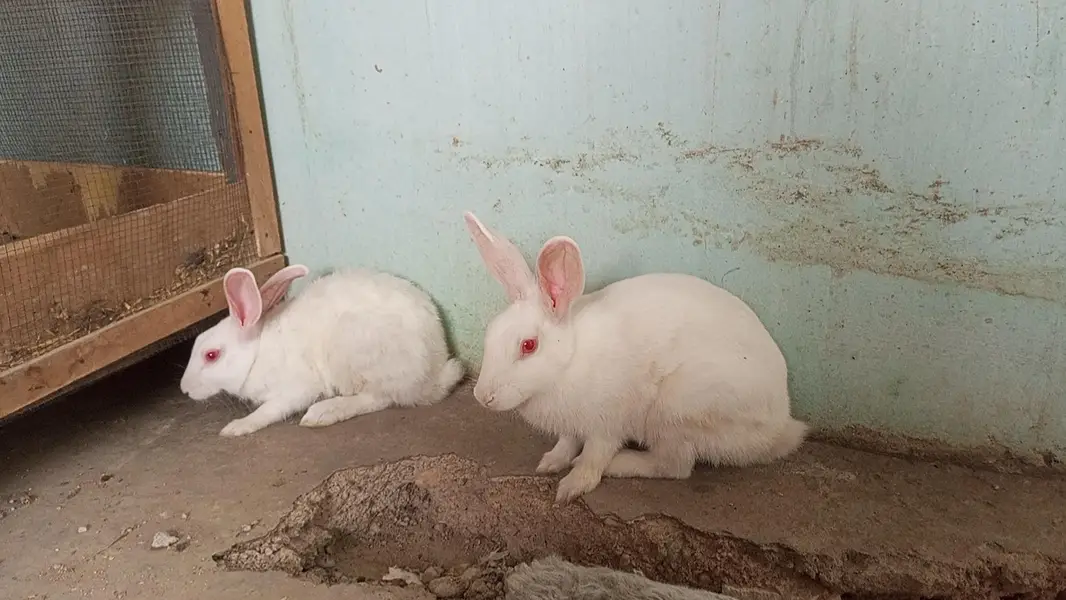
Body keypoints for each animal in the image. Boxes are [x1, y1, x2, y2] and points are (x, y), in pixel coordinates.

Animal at [179, 264, 465, 437]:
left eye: (211, 355)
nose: (184, 389)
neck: (257, 354)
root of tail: (433, 376)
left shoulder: (297, 388)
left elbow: (270, 410)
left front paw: (237, 427)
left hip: (352, 352)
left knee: (379, 397)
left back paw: (323, 413)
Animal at [462, 211, 807, 503]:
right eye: (490, 332)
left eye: (529, 345)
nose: (482, 396)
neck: (568, 363)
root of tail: (779, 426)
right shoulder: (572, 426)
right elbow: (566, 442)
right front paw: (550, 463)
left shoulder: (607, 424)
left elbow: (593, 457)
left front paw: (571, 487)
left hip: (675, 412)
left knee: (675, 466)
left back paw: (622, 463)